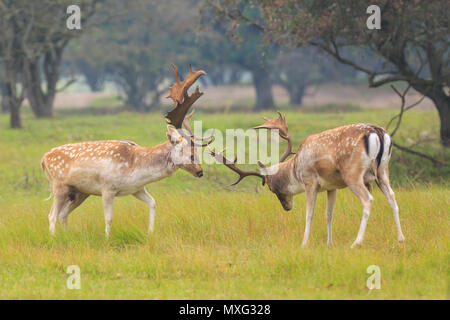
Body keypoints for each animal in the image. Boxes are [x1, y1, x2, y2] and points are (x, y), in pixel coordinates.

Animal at [41, 63, 212, 236]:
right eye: (191, 154)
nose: (200, 172)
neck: (136, 168)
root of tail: (43, 159)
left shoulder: (137, 189)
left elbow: (153, 202)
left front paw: (150, 232)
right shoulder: (107, 187)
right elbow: (108, 218)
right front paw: (107, 238)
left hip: (79, 192)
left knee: (63, 214)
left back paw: (66, 234)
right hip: (59, 186)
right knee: (51, 215)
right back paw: (54, 237)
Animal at [211, 112, 404, 248]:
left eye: (272, 189)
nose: (287, 207)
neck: (296, 168)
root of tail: (378, 133)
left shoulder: (310, 181)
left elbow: (309, 213)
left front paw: (304, 243)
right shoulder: (331, 186)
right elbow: (329, 214)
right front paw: (329, 243)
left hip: (353, 174)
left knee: (368, 200)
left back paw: (356, 243)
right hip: (382, 172)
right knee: (392, 198)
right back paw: (401, 239)